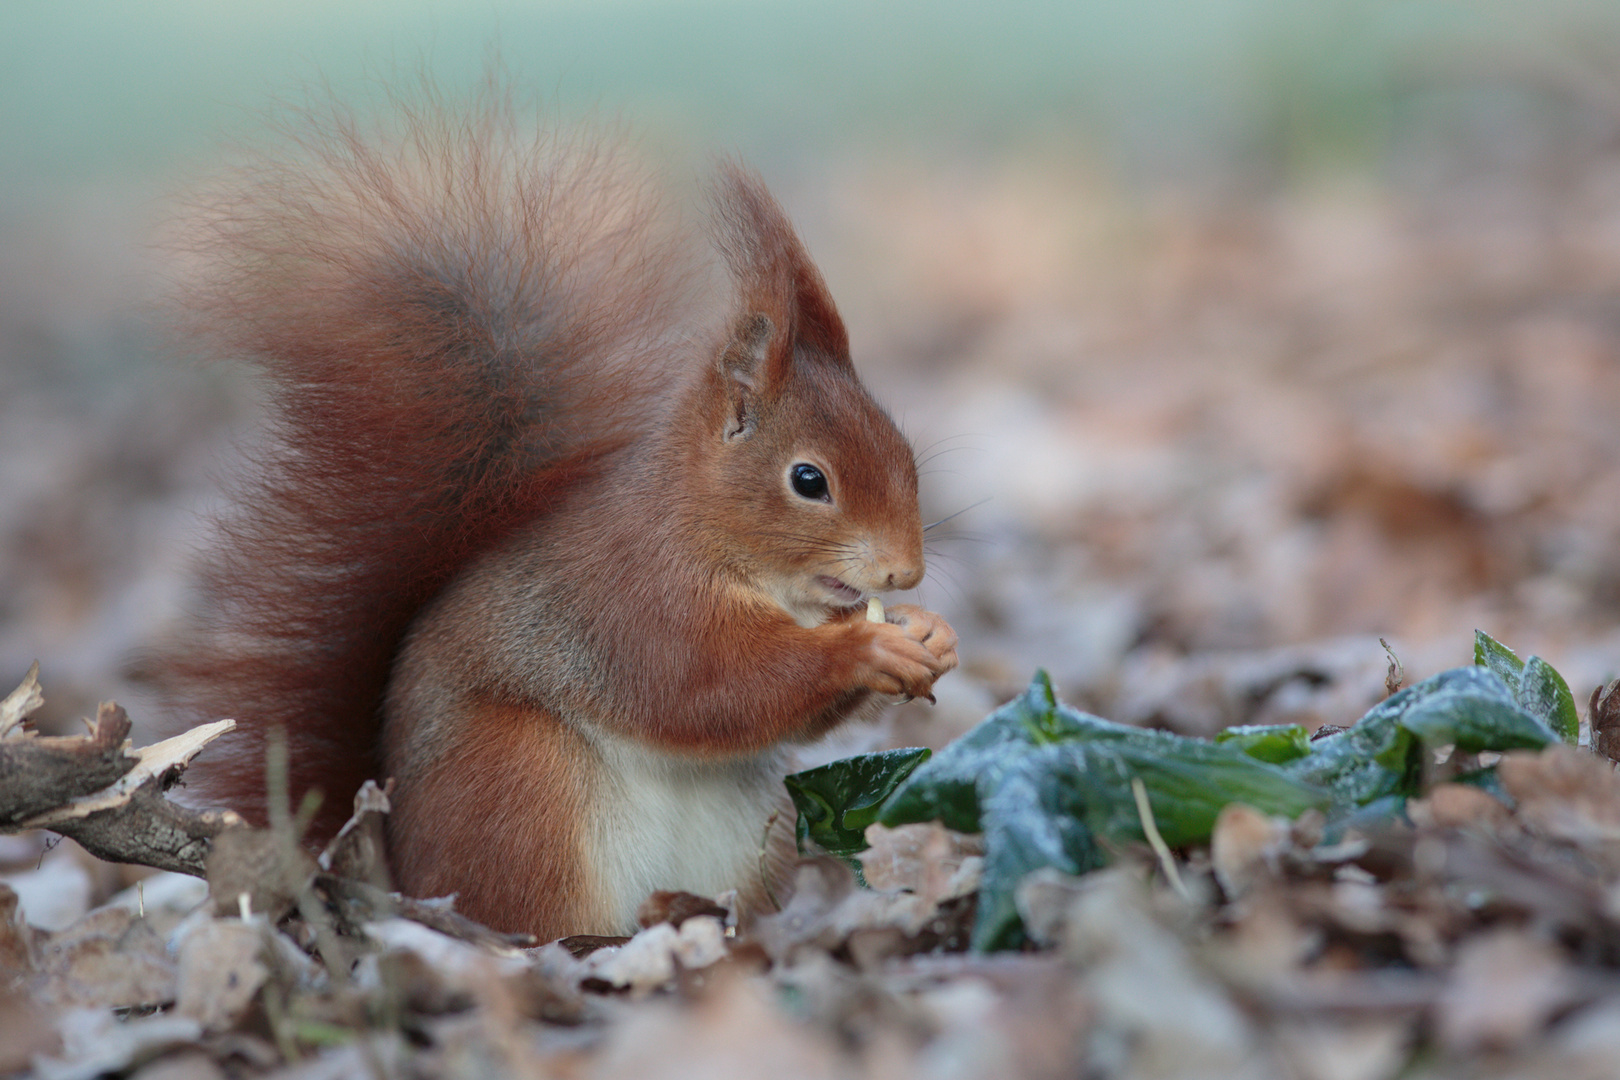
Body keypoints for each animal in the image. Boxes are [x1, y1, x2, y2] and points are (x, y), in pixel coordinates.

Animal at [159, 90, 952, 939]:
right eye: (809, 480)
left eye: (902, 449)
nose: (906, 571)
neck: (701, 532)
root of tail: (399, 876)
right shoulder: (633, 604)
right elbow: (710, 686)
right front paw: (868, 646)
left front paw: (932, 635)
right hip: (525, 784)